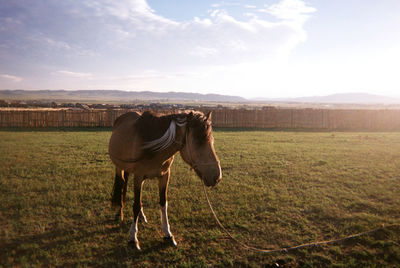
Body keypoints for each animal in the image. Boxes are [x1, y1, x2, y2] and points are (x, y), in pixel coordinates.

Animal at [109, 110, 222, 250]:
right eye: (199, 142)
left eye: (212, 140)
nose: (217, 177)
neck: (151, 146)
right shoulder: (138, 177)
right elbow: (136, 205)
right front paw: (133, 238)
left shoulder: (164, 176)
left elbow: (163, 203)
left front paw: (168, 234)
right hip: (120, 168)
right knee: (121, 186)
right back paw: (119, 213)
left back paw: (141, 216)